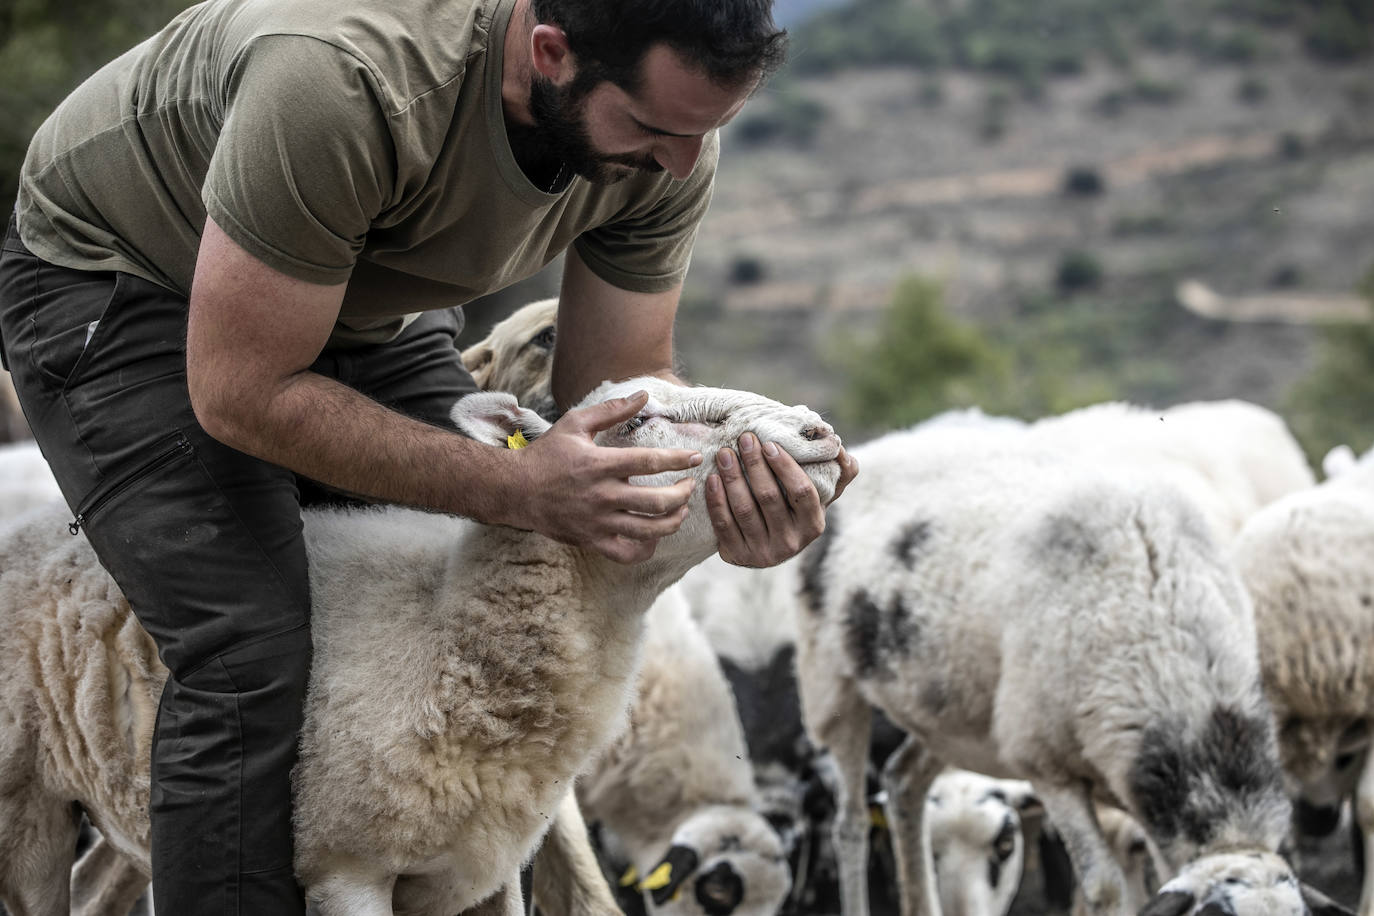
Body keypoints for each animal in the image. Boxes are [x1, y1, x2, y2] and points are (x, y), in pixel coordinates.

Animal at [0, 379, 840, 916]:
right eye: (634, 421)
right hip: (23, 807)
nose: (819, 434)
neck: (445, 637)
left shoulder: (483, 873)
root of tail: (43, 525)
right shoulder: (346, 870)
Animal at [796, 422, 1341, 916]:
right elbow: (1105, 888)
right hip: (831, 685)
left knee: (904, 782)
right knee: (850, 825)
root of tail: (888, 443)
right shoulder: (1047, 766)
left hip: (952, 717)